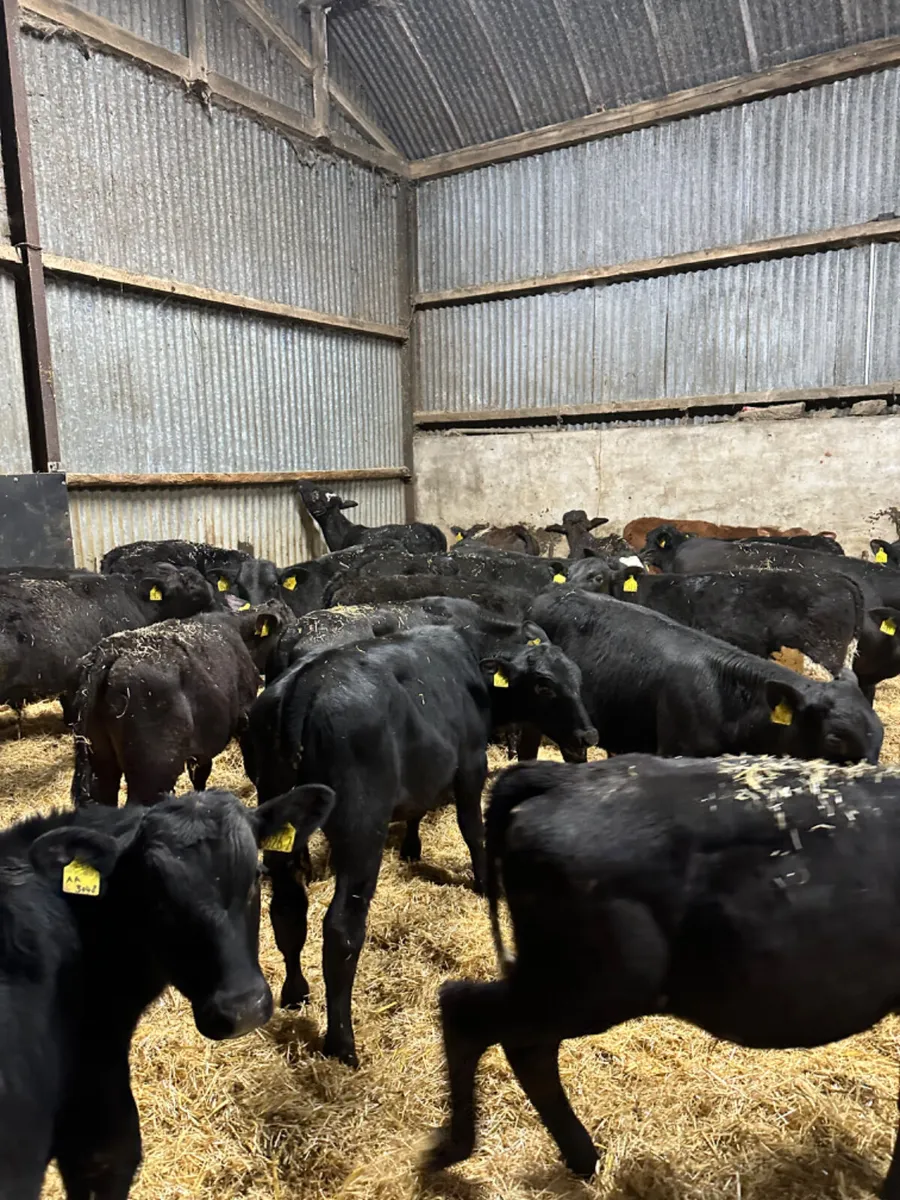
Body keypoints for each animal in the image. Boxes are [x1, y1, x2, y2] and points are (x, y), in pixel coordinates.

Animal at [242, 625, 596, 1067]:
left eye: (577, 679)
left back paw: (295, 992)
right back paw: (342, 1044)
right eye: (544, 685)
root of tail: (308, 681)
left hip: (280, 816)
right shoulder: (470, 763)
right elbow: (472, 827)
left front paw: (412, 847)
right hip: (361, 828)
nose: (588, 735)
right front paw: (484, 882)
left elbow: (418, 810)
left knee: (288, 909)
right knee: (341, 929)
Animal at [427, 754, 900, 1197]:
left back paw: (582, 1159)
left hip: (567, 982)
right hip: (592, 985)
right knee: (467, 1011)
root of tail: (562, 778)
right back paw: (448, 1150)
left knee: (523, 1045)